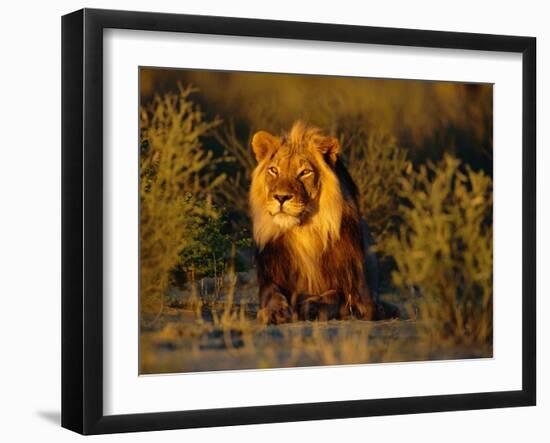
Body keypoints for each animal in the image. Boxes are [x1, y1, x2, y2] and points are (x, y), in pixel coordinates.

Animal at [252, 121, 390, 326]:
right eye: (274, 170)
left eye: (305, 172)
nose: (281, 197)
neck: (305, 232)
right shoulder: (271, 277)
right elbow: (272, 294)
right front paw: (274, 311)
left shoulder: (360, 295)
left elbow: (337, 295)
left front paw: (311, 306)